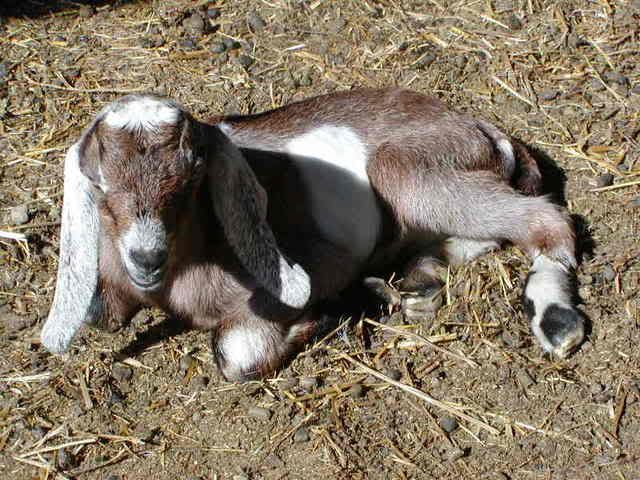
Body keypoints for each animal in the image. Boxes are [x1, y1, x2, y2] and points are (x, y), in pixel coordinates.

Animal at [41, 88, 585, 381]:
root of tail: (484, 130)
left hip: (408, 171)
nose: (146, 258)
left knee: (546, 222)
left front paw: (317, 320)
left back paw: (555, 319)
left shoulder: (320, 262)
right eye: (99, 184)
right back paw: (415, 282)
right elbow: (100, 314)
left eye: (193, 176)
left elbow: (235, 356)